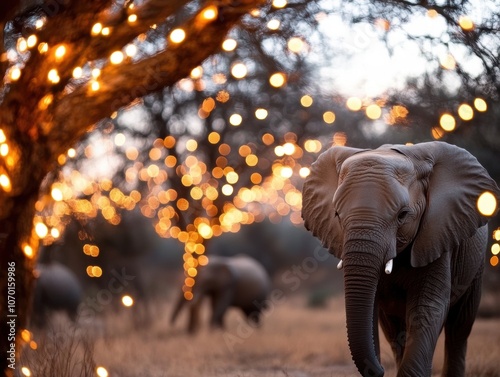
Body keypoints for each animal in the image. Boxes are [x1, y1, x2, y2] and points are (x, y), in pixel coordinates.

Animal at [300, 141, 500, 376]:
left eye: (402, 215)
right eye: (337, 215)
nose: (379, 370)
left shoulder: (436, 234)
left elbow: (426, 310)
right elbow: (375, 311)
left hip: (475, 265)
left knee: (459, 327)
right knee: (395, 330)